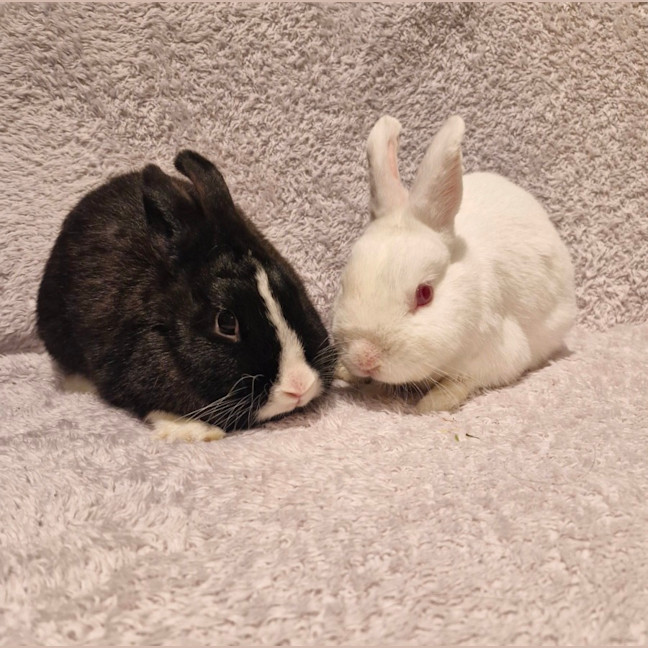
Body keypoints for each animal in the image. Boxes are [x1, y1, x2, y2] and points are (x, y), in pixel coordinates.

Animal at [332, 115, 576, 412]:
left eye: (425, 294)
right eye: (344, 284)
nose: (364, 356)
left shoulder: (499, 355)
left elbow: (462, 381)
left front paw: (431, 404)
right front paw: (348, 374)